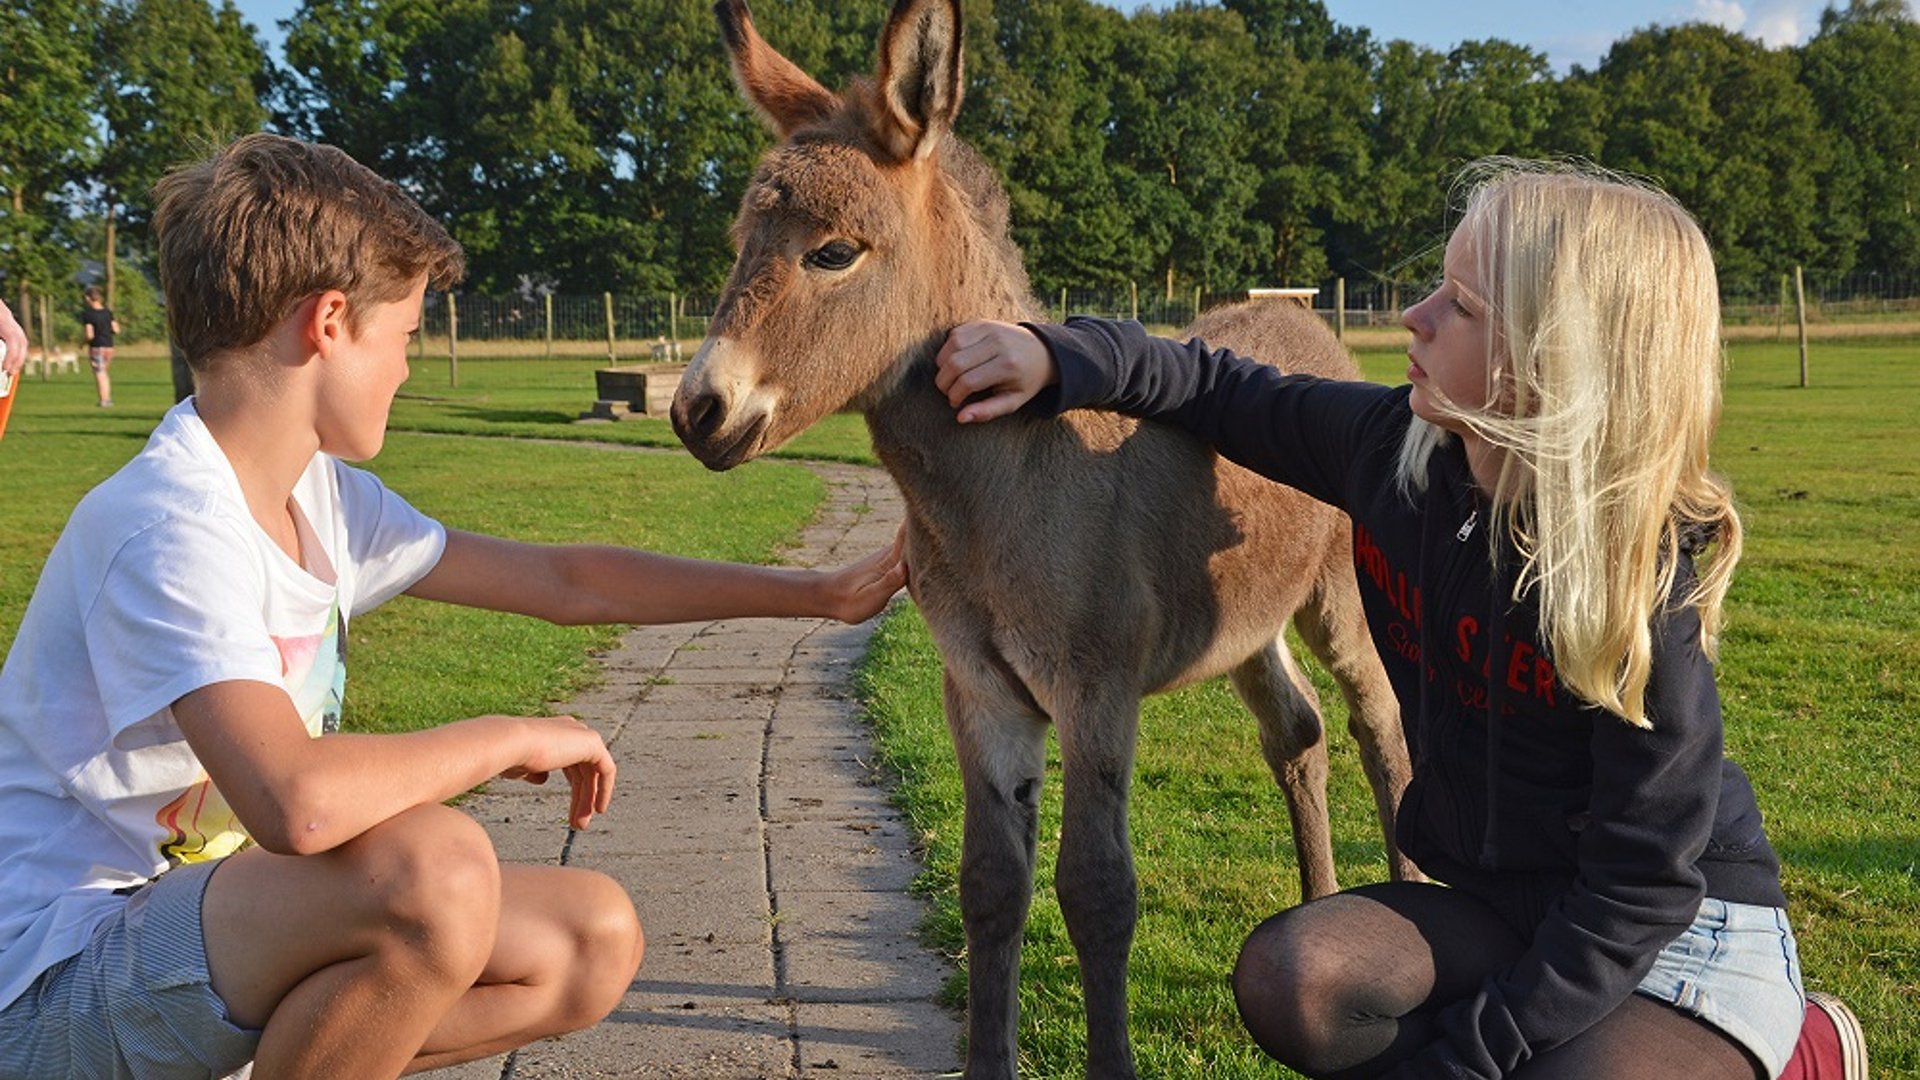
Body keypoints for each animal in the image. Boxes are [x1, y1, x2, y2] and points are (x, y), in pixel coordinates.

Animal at [672, 4, 1413, 1068]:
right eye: (742, 241)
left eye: (834, 252)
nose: (697, 411)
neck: (1010, 480)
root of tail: (1314, 337)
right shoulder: (982, 692)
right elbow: (992, 887)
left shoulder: (1096, 691)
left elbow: (1096, 891)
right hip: (1247, 627)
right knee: (1297, 733)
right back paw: (1318, 912)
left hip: (1339, 598)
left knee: (1377, 726)